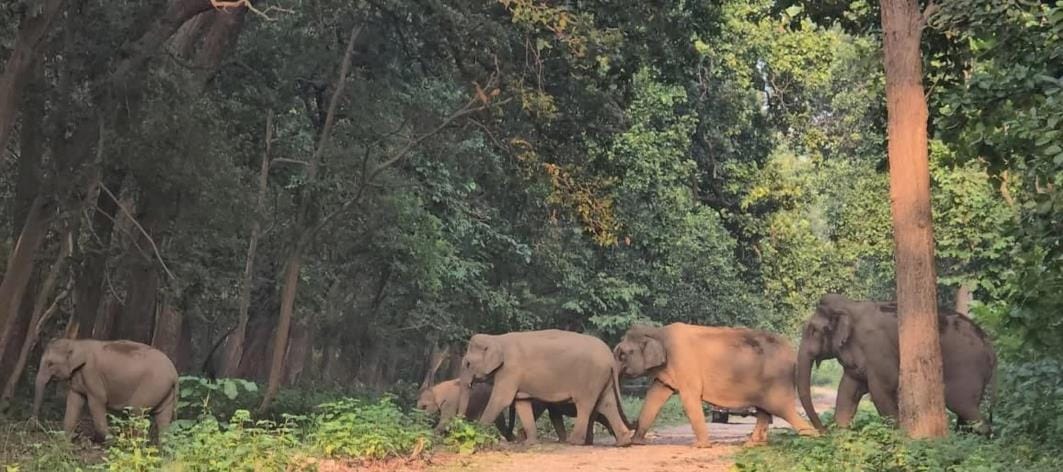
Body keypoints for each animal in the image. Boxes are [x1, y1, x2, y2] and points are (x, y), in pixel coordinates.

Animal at [32, 339, 178, 442]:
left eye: (50, 364)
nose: (35, 425)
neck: (76, 343)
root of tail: (174, 373)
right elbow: (74, 401)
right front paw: (65, 440)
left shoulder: (91, 374)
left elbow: (97, 402)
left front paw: (107, 440)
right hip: (165, 391)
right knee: (163, 417)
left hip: (153, 386)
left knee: (137, 411)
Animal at [458, 329, 633, 446]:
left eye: (468, 363)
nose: (458, 423)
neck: (496, 338)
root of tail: (610, 358)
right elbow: (522, 403)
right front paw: (530, 443)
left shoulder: (510, 370)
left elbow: (502, 400)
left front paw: (477, 433)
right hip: (603, 378)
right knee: (607, 404)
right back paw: (623, 441)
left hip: (590, 377)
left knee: (585, 405)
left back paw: (574, 441)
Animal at [614, 323, 818, 447]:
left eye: (623, 354)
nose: (632, 424)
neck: (658, 331)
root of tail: (792, 353)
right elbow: (655, 396)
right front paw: (637, 443)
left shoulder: (684, 363)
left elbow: (690, 399)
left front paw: (700, 446)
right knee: (764, 410)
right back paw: (753, 443)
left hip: (777, 381)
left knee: (781, 409)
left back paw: (813, 438)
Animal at [797, 294, 997, 434]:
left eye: (813, 331)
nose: (824, 431)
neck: (851, 305)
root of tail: (990, 347)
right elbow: (847, 390)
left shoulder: (877, 348)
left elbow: (881, 391)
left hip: (967, 368)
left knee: (964, 406)